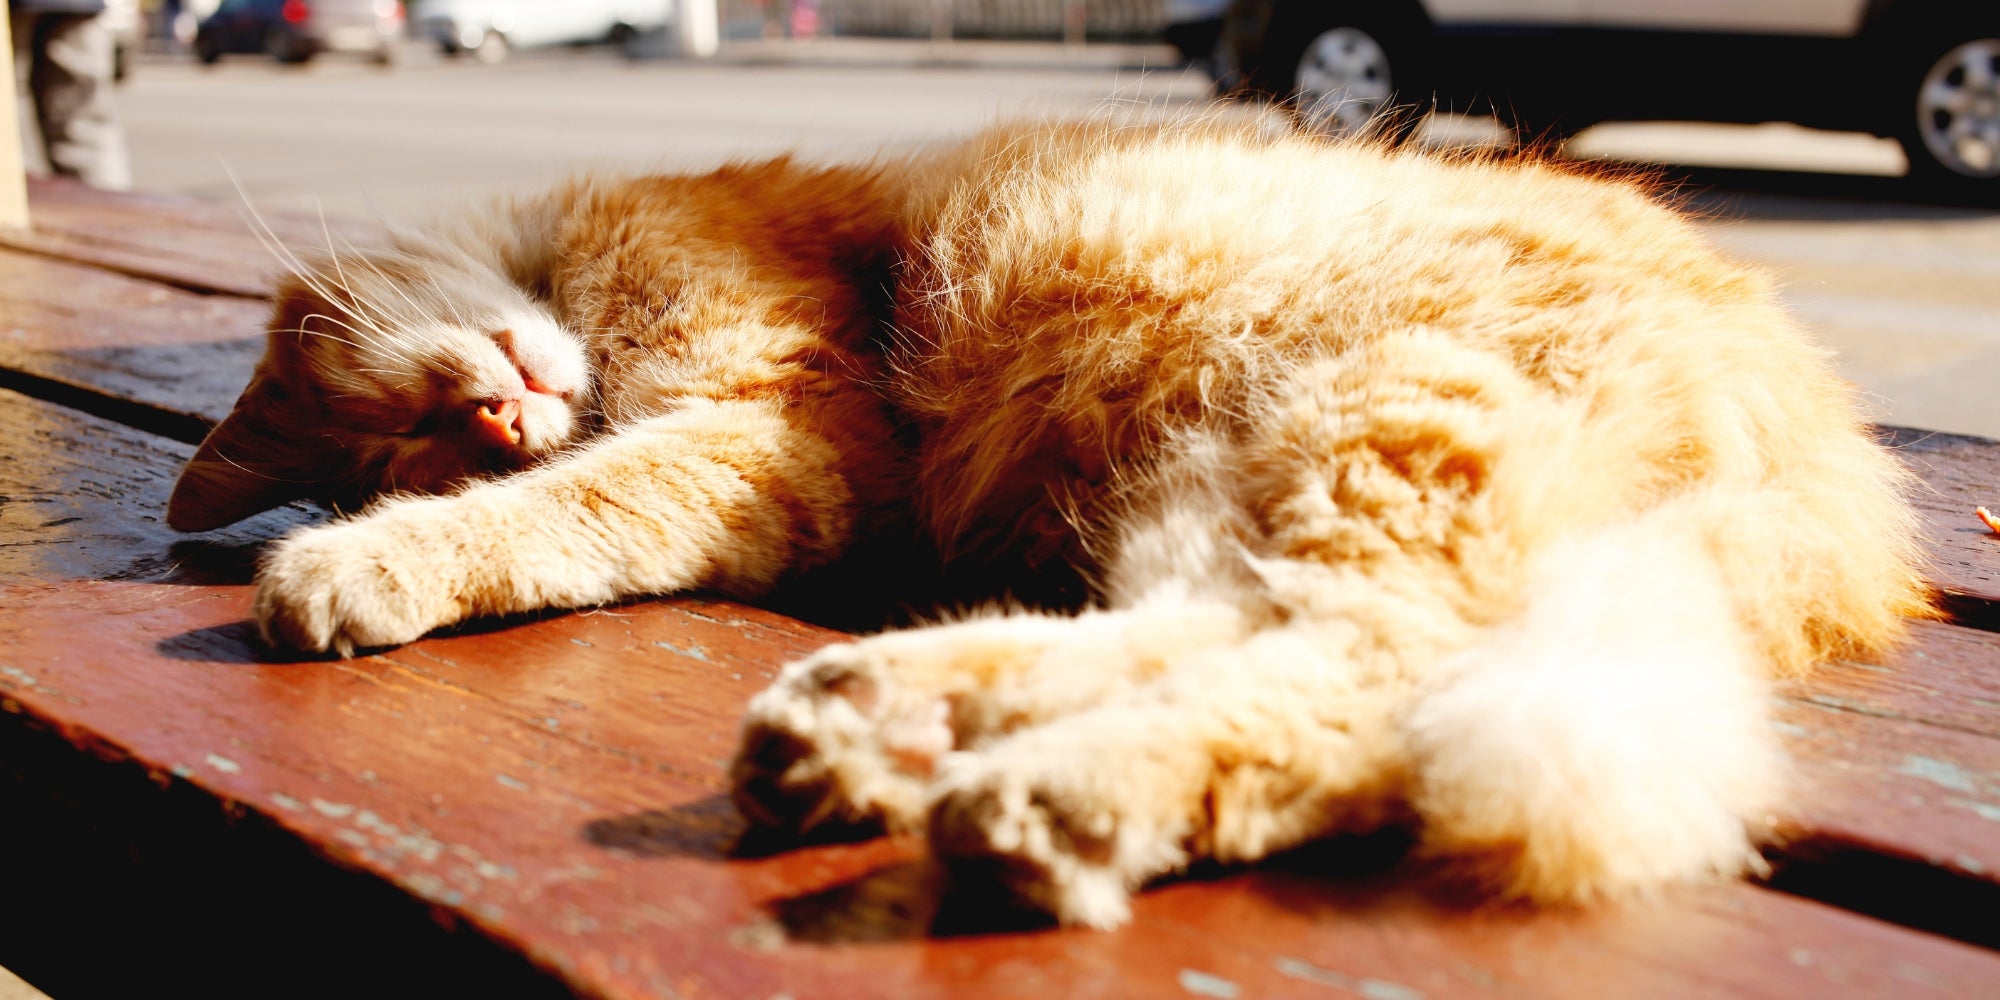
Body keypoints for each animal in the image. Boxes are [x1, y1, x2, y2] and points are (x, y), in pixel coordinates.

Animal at [176, 115, 1936, 928]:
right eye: (410, 439)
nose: (493, 419)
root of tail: (1847, 484)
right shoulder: (774, 451)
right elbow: (580, 503)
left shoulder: (766, 429)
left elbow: (574, 507)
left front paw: (349, 567)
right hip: (1222, 481)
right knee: (1244, 648)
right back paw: (869, 733)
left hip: (1368, 423)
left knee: (1356, 677)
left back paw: (1047, 802)